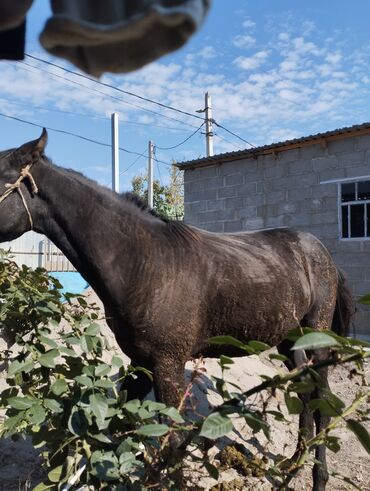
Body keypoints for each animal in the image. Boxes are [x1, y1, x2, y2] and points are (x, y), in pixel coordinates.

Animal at [0, 131, 354, 491]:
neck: (145, 264)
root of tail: (322, 253)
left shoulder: (168, 364)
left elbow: (172, 441)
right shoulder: (140, 363)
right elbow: (115, 428)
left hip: (316, 338)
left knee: (322, 401)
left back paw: (318, 477)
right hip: (289, 342)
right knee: (306, 394)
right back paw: (294, 463)